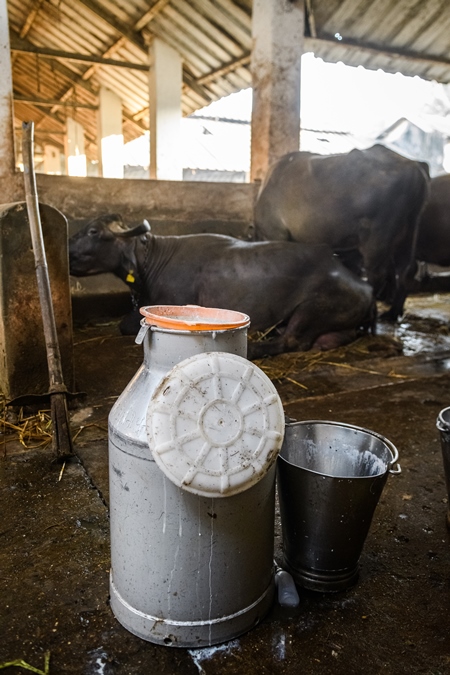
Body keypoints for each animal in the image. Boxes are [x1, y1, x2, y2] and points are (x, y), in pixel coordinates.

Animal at [69, 214, 376, 362]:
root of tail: (363, 285)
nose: (67, 250)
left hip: (314, 307)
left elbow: (125, 325)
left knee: (292, 341)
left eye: (94, 231)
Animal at [253, 143, 428, 322]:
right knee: (406, 269)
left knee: (377, 275)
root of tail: (413, 165)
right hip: (409, 233)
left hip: (377, 240)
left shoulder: (275, 234)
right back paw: (394, 313)